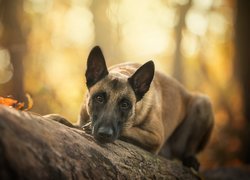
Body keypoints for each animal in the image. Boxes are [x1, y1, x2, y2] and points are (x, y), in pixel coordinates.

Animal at [46, 46, 214, 170]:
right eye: (99, 98)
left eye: (125, 104)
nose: (104, 134)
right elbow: (71, 122)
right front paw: (56, 118)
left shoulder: (155, 137)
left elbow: (128, 130)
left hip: (203, 103)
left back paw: (190, 159)